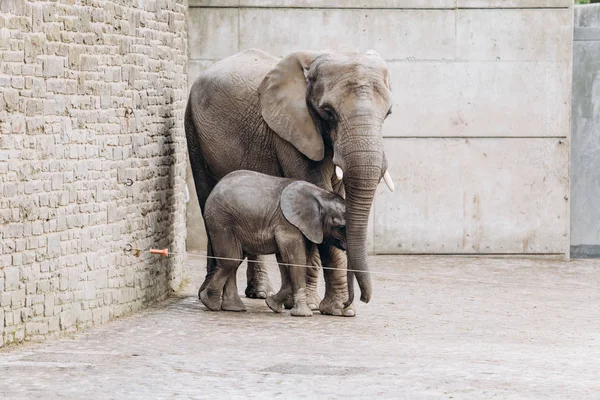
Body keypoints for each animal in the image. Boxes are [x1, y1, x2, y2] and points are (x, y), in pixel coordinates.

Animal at [199, 170, 344, 318]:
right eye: (341, 227)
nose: (345, 305)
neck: (320, 196)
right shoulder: (287, 224)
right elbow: (295, 259)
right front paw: (303, 315)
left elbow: (285, 260)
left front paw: (272, 305)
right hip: (221, 222)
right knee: (231, 260)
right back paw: (209, 302)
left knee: (235, 260)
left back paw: (233, 307)